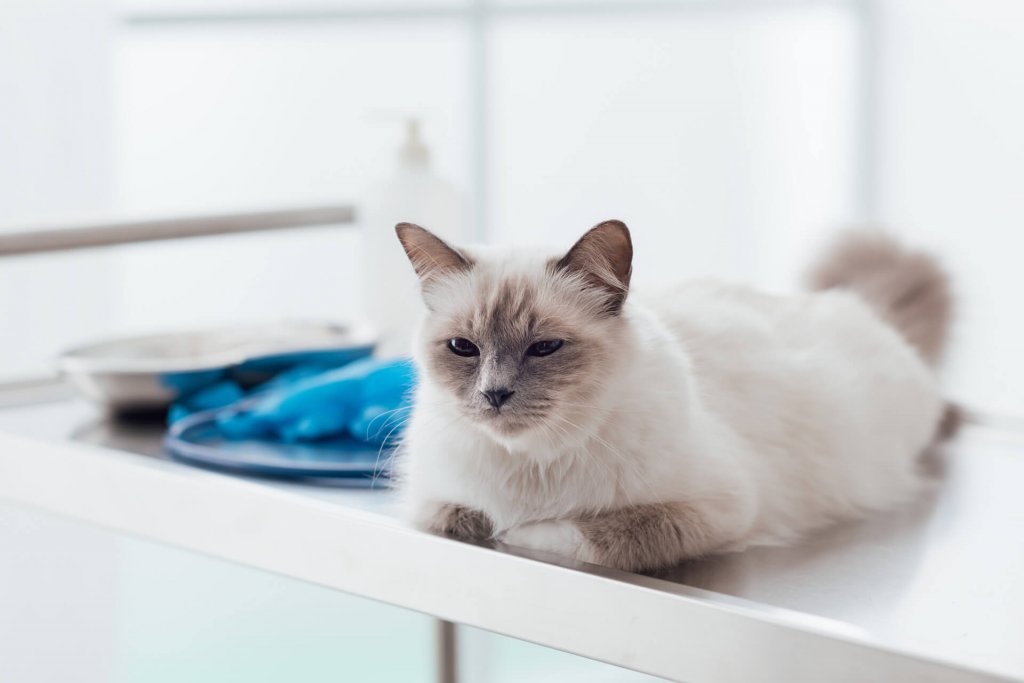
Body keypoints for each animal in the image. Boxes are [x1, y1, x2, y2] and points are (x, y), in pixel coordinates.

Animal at [391, 219, 950, 573]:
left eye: (544, 348)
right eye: (463, 348)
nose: (494, 394)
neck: (532, 463)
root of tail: (856, 304)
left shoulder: (719, 508)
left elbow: (591, 535)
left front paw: (517, 534)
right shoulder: (430, 502)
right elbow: (466, 519)